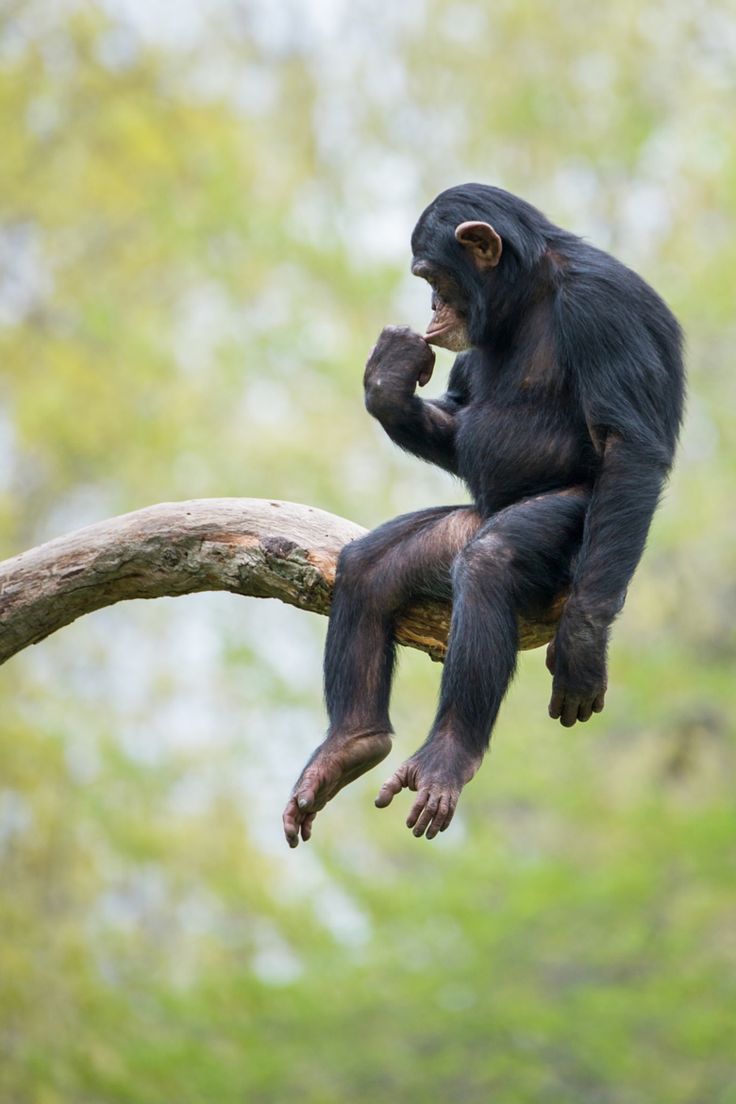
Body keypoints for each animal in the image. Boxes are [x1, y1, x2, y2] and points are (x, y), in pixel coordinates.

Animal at [282, 185, 684, 847]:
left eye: (433, 276)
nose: (432, 305)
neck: (530, 290)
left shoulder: (601, 309)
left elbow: (627, 446)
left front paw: (582, 644)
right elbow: (458, 411)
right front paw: (388, 383)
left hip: (579, 541)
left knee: (492, 562)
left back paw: (449, 755)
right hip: (461, 525)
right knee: (370, 566)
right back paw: (351, 745)